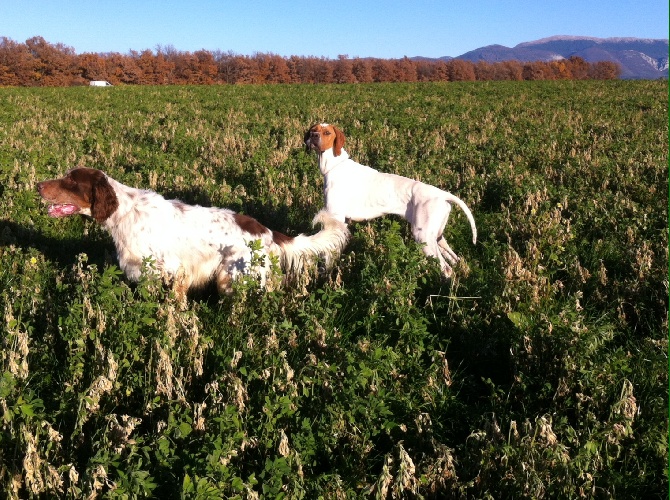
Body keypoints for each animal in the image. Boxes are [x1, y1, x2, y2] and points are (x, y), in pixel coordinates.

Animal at [36, 168, 352, 292]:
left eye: (70, 181)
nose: (38, 185)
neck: (125, 212)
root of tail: (268, 232)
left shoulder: (175, 271)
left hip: (231, 277)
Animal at [304, 122, 478, 276]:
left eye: (327, 132)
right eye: (313, 130)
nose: (313, 136)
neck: (334, 165)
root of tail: (442, 194)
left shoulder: (335, 218)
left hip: (423, 237)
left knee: (446, 269)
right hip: (437, 237)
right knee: (455, 260)